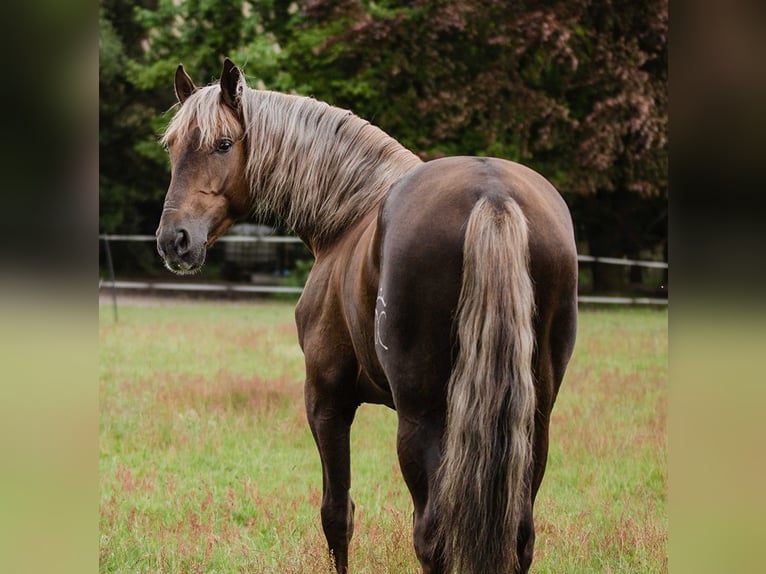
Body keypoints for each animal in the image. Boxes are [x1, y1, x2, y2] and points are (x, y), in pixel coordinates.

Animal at [156, 58, 578, 574]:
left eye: (222, 143)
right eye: (173, 146)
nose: (174, 240)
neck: (350, 214)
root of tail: (493, 195)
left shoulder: (326, 399)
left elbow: (337, 515)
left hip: (422, 420)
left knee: (431, 536)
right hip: (532, 422)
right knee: (519, 537)